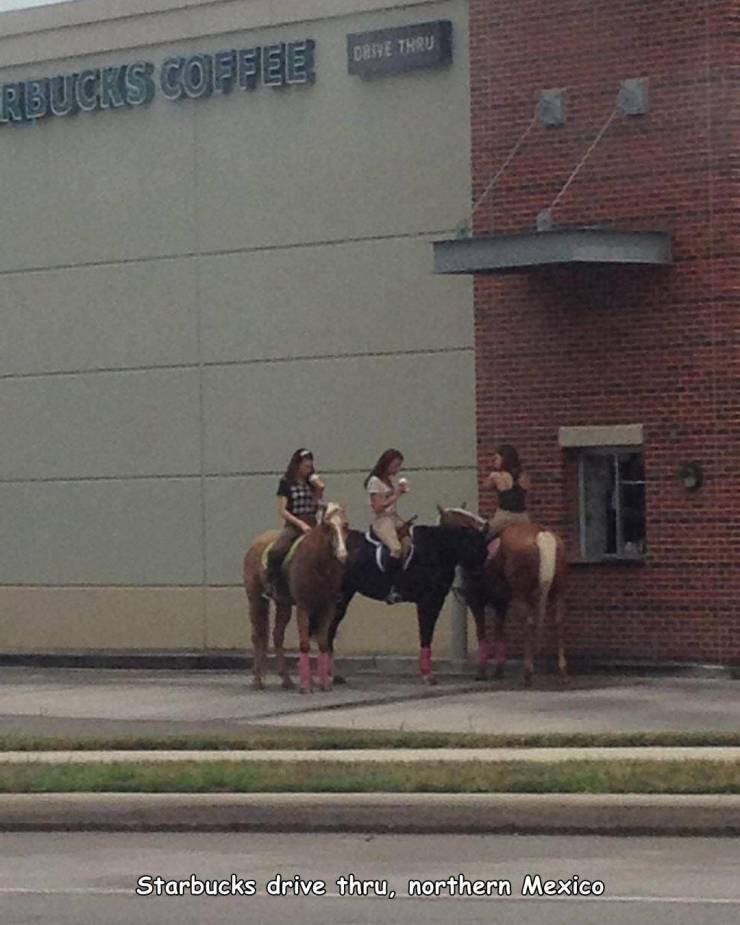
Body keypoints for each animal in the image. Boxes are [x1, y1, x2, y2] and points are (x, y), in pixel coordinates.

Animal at [288, 502, 348, 688]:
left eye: (346, 525)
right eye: (328, 526)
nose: (342, 555)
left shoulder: (327, 605)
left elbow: (322, 642)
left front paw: (324, 683)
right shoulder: (303, 605)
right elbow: (305, 643)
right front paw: (306, 686)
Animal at [326, 524, 488, 684]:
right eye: (477, 547)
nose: (478, 579)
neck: (436, 549)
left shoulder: (435, 601)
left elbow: (427, 634)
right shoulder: (428, 601)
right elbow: (425, 634)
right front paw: (428, 675)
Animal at [440, 506, 568, 684]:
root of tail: (541, 534)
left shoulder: (476, 601)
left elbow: (482, 633)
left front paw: (482, 671)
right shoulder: (501, 603)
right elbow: (499, 632)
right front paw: (498, 670)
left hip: (521, 594)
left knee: (528, 623)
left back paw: (527, 672)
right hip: (558, 591)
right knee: (559, 622)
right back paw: (562, 671)